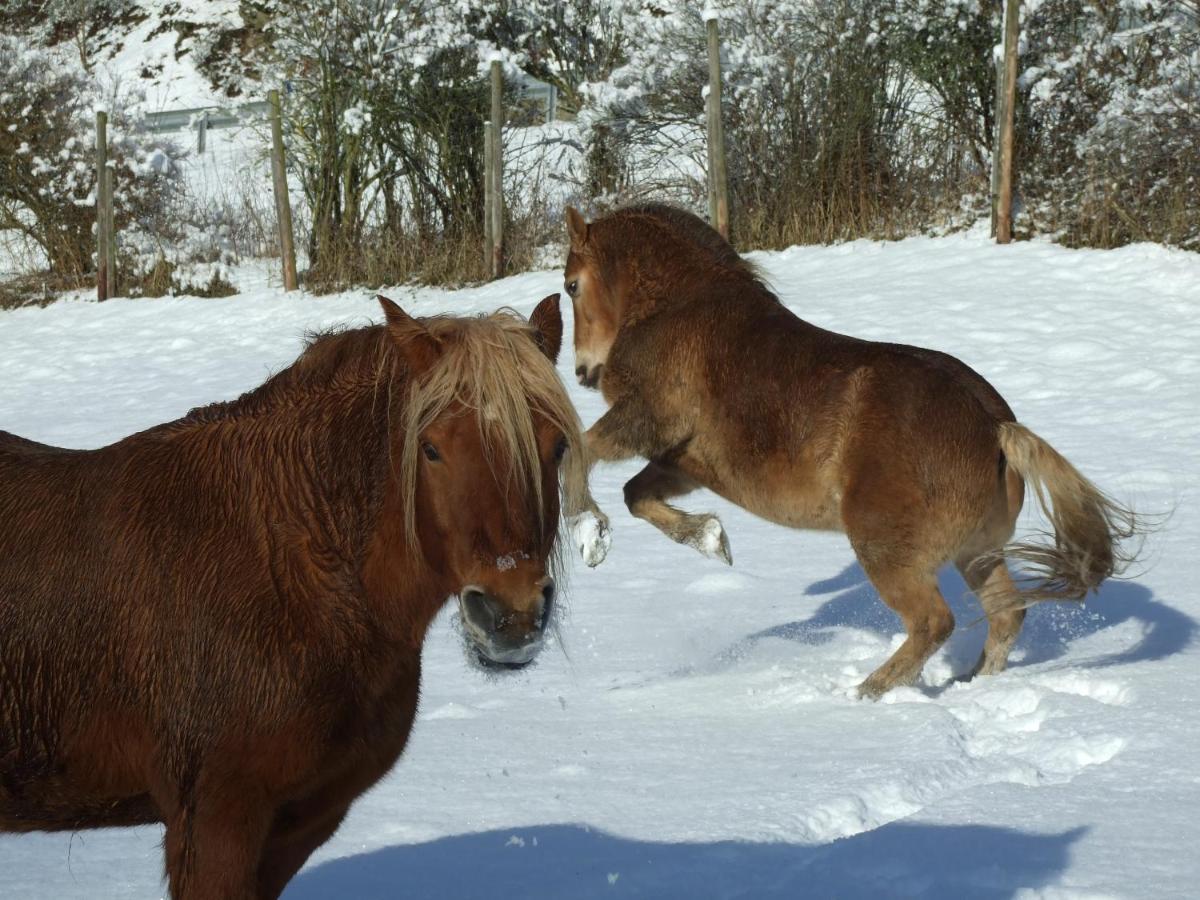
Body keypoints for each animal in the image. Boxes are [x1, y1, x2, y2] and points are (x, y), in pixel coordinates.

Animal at [0, 292, 600, 897]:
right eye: (430, 450)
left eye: (557, 446)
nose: (512, 616)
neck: (284, 561)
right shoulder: (216, 826)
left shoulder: (297, 826)